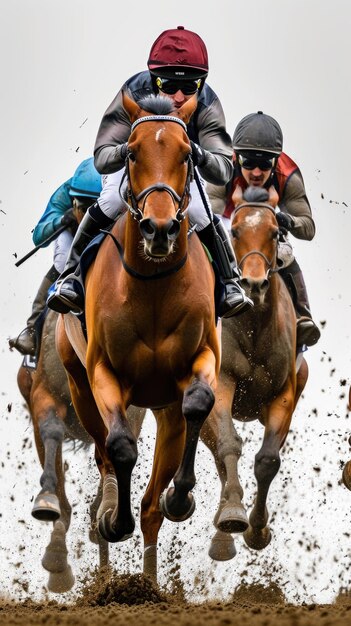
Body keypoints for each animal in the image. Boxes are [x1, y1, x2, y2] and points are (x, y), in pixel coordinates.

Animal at [55, 91, 220, 580]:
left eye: (187, 155)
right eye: (131, 152)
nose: (159, 228)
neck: (152, 287)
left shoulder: (203, 357)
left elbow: (199, 401)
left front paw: (180, 496)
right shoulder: (103, 372)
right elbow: (121, 446)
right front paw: (113, 519)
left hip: (164, 408)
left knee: (150, 506)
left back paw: (148, 576)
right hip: (78, 384)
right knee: (103, 452)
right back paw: (108, 515)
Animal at [202, 185, 310, 556]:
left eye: (275, 232)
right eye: (234, 231)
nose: (252, 283)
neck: (254, 325)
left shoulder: (284, 393)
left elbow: (267, 461)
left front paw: (258, 529)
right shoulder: (222, 381)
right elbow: (228, 445)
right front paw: (234, 513)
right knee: (217, 451)